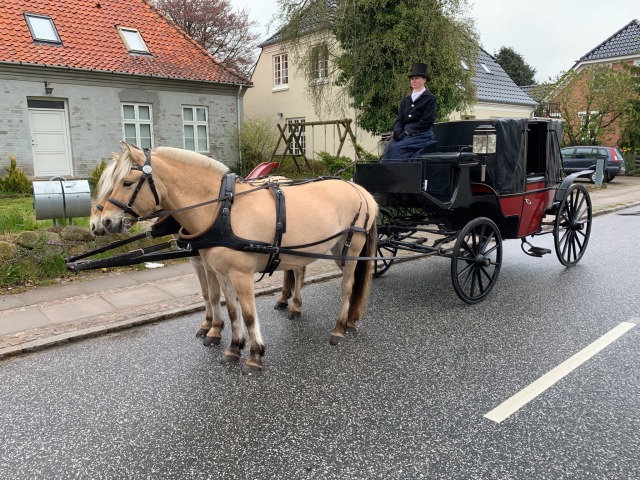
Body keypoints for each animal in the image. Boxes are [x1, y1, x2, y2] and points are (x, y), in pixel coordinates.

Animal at [102, 142, 378, 376]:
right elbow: (232, 309)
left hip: (350, 249)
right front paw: (234, 346)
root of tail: (359, 189)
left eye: (127, 182)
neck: (222, 211)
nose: (105, 222)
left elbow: (248, 314)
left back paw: (339, 327)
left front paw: (254, 355)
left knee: (348, 286)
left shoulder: (241, 275)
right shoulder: (221, 273)